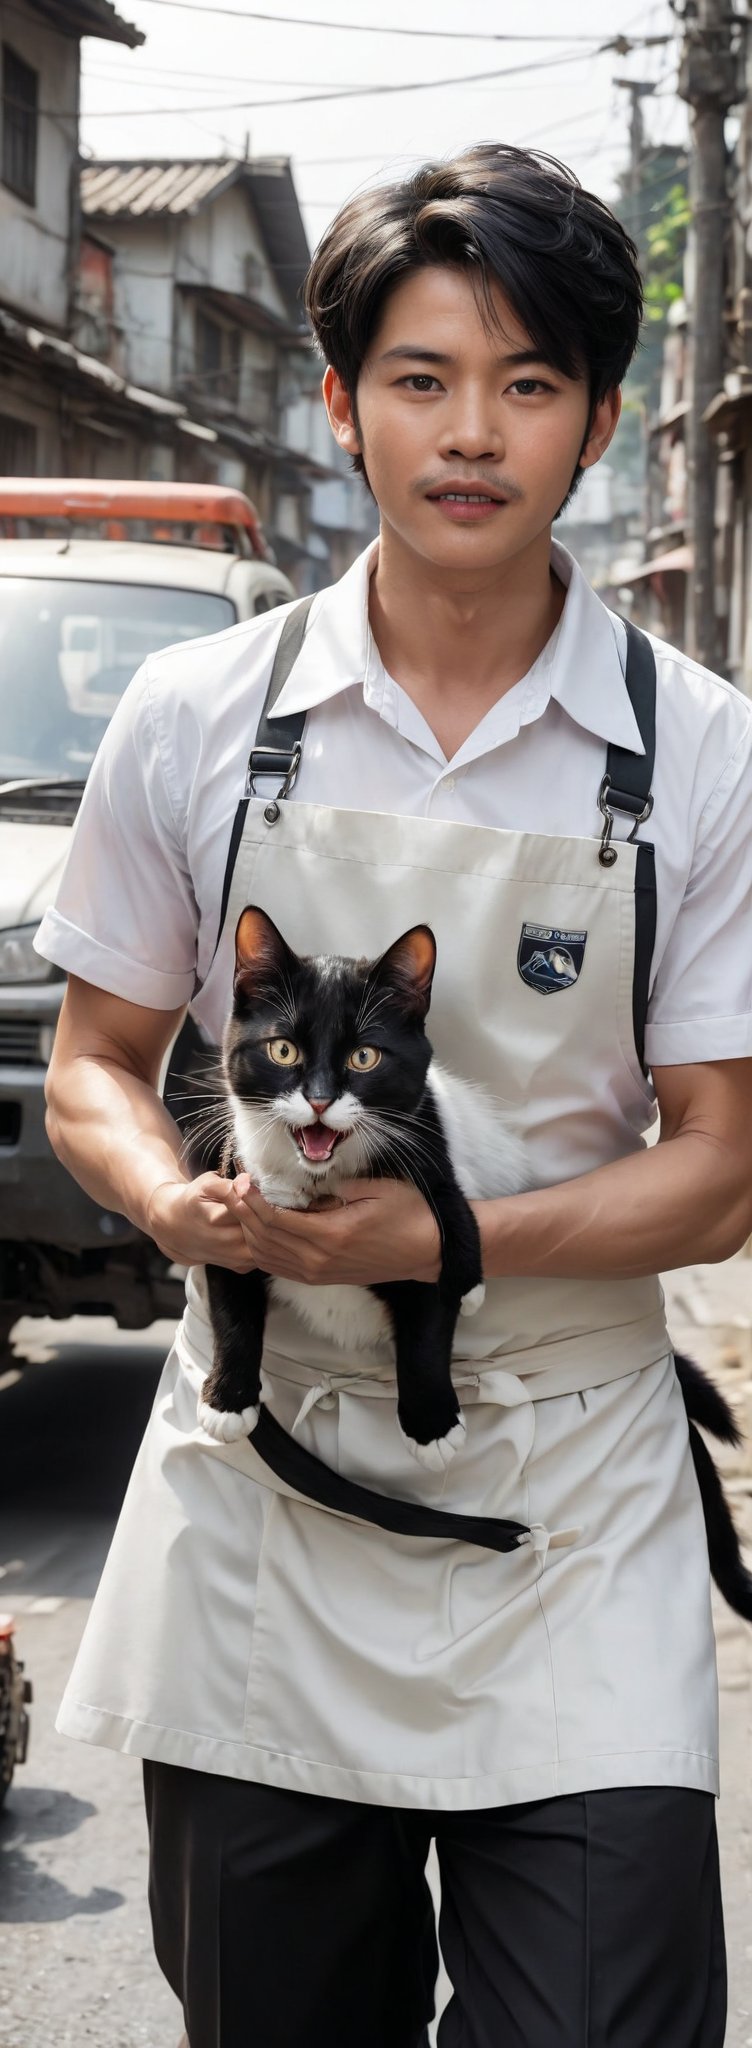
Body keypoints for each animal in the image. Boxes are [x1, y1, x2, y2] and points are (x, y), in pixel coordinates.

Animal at [195, 905, 752, 1622]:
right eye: (282, 1050)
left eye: (364, 1056)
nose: (318, 1100)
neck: (322, 1181)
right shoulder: (233, 1196)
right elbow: (233, 1308)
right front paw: (228, 1399)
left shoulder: (421, 1191)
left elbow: (431, 1316)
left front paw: (433, 1423)